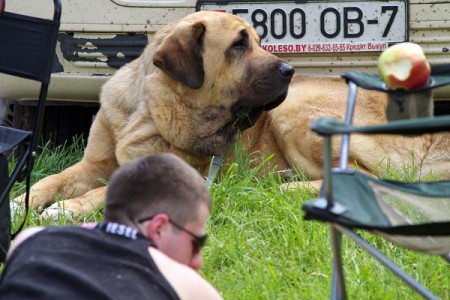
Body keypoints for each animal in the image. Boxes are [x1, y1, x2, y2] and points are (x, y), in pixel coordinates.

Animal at [17, 11, 450, 218]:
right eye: (239, 45)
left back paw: (280, 189)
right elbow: (53, 179)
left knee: (361, 177)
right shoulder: (94, 163)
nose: (289, 70)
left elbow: (102, 192)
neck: (152, 110)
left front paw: (66, 210)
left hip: (294, 113)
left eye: (257, 41)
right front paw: (23, 201)